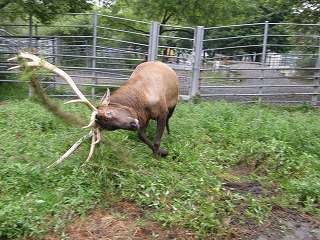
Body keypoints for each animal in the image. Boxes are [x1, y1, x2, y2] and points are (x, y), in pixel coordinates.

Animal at [8, 51, 180, 168]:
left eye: (109, 113)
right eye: (110, 128)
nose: (132, 124)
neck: (141, 99)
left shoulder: (162, 111)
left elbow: (156, 140)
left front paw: (158, 156)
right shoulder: (142, 118)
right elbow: (142, 137)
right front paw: (163, 152)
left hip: (173, 103)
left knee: (170, 119)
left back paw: (169, 133)